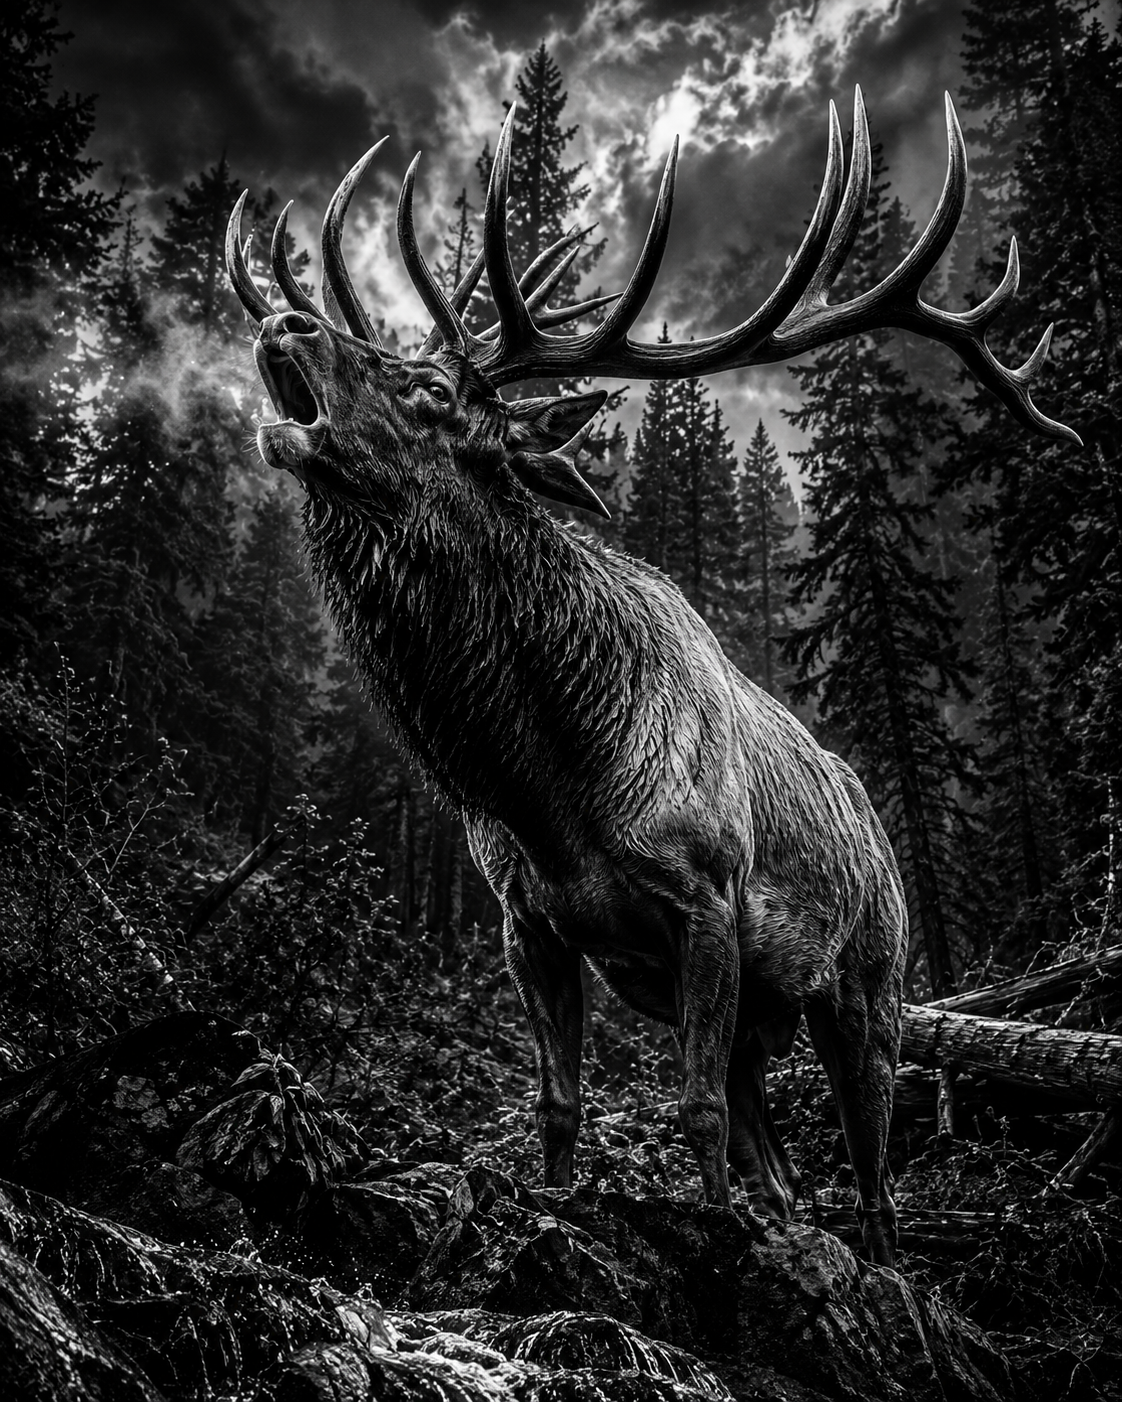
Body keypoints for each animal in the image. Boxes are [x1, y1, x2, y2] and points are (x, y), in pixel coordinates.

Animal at [226, 89, 1079, 1267]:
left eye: (430, 392)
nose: (286, 323)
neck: (547, 785)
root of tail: (873, 817)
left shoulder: (706, 898)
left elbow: (694, 1111)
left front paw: (713, 1240)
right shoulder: (529, 921)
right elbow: (561, 1102)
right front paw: (552, 1214)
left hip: (874, 982)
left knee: (871, 1175)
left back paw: (879, 1263)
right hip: (765, 1013)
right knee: (787, 1165)